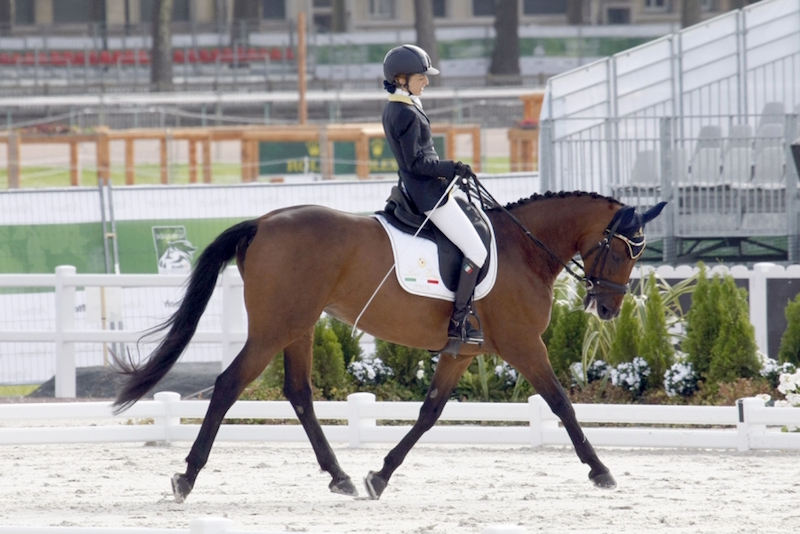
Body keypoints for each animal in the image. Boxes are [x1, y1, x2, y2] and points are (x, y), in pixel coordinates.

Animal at [111, 191, 664, 504]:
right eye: (624, 251)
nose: (608, 309)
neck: (524, 248)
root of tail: (263, 222)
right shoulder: (524, 345)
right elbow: (562, 404)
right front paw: (601, 471)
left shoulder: (461, 352)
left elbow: (429, 413)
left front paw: (379, 475)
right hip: (274, 327)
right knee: (228, 385)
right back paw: (186, 479)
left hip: (299, 326)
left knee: (299, 393)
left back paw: (340, 478)